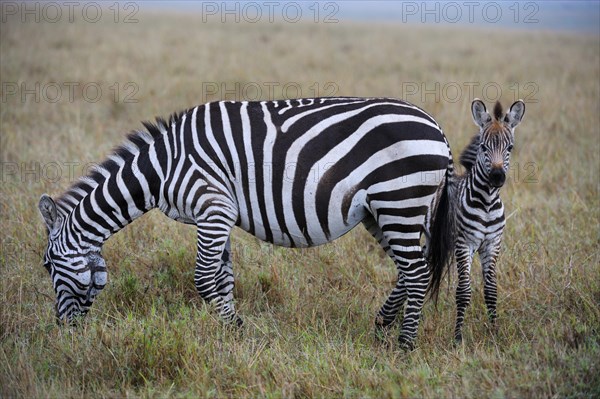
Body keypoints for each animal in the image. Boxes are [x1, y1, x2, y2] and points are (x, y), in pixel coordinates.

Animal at [37, 97, 454, 350]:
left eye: (47, 266)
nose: (62, 330)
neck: (163, 168)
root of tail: (438, 129)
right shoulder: (217, 215)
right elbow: (223, 277)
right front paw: (234, 333)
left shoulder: (212, 206)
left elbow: (204, 278)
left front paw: (232, 331)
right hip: (381, 211)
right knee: (409, 269)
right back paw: (383, 324)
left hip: (399, 200)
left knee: (417, 272)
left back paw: (404, 346)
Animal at [450, 99, 524, 344]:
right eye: (483, 147)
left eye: (510, 148)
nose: (497, 177)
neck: (487, 203)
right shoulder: (465, 243)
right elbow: (463, 291)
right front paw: (457, 338)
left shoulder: (493, 243)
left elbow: (491, 290)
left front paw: (494, 333)